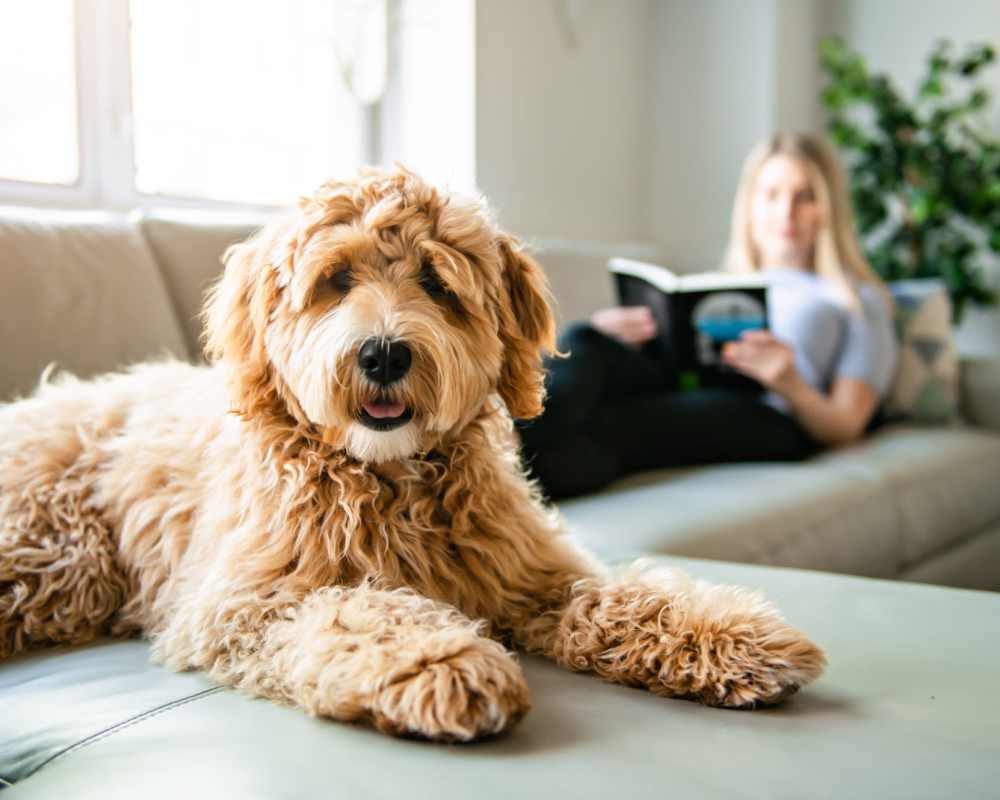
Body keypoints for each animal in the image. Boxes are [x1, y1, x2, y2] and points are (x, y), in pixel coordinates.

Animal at [0, 169, 824, 744]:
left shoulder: (532, 573)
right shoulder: (245, 602)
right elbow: (356, 610)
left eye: (435, 281)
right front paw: (443, 663)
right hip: (57, 555)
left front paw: (732, 636)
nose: (385, 354)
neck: (388, 476)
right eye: (335, 281)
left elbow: (621, 595)